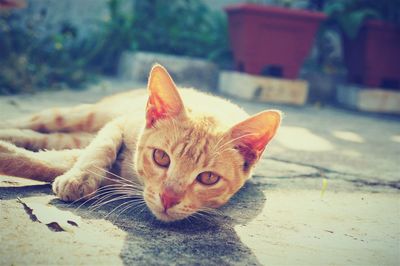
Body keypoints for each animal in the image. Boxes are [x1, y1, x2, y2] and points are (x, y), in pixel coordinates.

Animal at [0, 65, 282, 222]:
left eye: (209, 178)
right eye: (161, 157)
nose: (168, 199)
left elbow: (43, 163)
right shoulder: (119, 123)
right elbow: (102, 146)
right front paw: (79, 178)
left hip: (72, 135)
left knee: (45, 138)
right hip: (81, 115)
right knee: (38, 120)